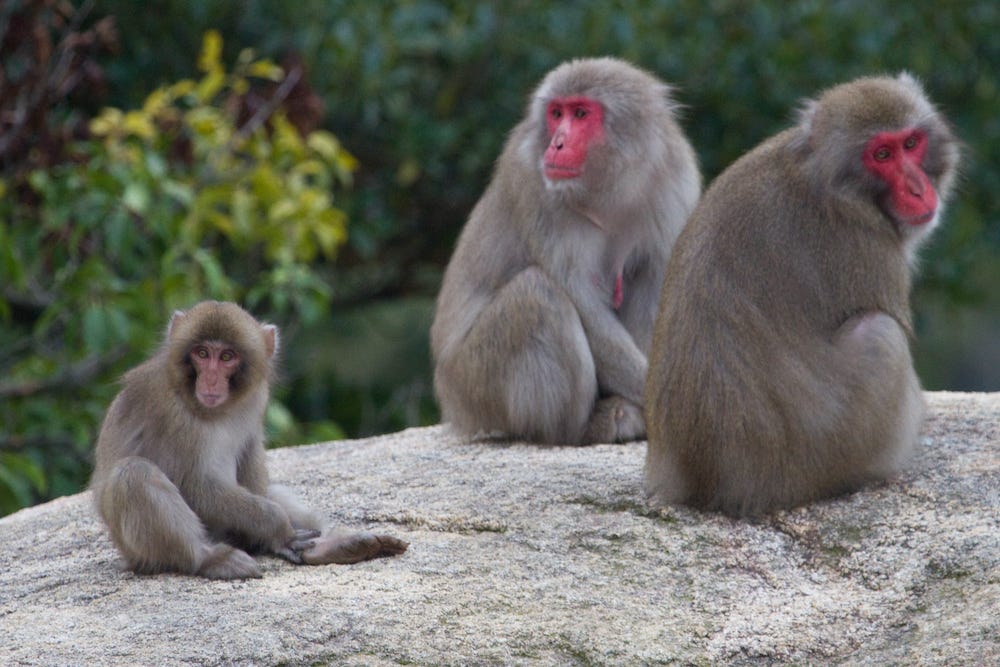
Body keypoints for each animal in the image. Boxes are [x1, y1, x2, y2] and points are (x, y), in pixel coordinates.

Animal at [90, 301, 408, 578]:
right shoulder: (169, 411)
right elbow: (194, 486)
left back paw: (331, 545)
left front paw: (280, 538)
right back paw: (209, 559)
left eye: (226, 357)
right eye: (202, 353)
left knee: (269, 492)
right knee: (134, 474)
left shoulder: (256, 396)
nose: (210, 380)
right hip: (140, 551)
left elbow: (252, 466)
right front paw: (279, 530)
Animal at [430, 57, 701, 445]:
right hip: (474, 380)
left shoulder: (677, 178)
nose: (556, 144)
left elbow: (660, 284)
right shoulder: (533, 182)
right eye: (557, 113)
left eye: (581, 113)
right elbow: (582, 300)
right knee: (538, 295)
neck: (611, 187)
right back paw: (582, 428)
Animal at [644, 73, 960, 517]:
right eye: (881, 154)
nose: (918, 189)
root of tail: (708, 484)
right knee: (880, 334)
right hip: (818, 459)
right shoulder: (869, 247)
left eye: (911, 143)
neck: (825, 177)